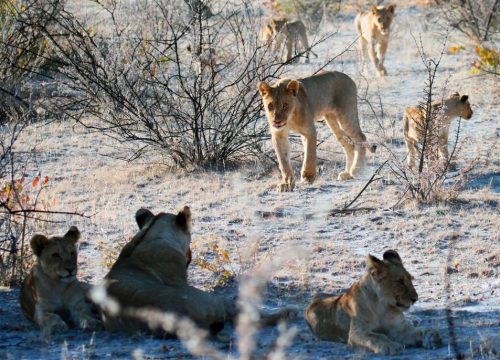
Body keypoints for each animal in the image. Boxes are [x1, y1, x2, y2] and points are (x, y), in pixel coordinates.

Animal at [304, 250, 442, 354]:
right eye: (400, 282)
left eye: (410, 279)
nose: (415, 298)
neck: (382, 306)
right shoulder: (357, 332)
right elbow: (376, 336)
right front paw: (390, 346)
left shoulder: (400, 329)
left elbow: (420, 330)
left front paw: (433, 338)